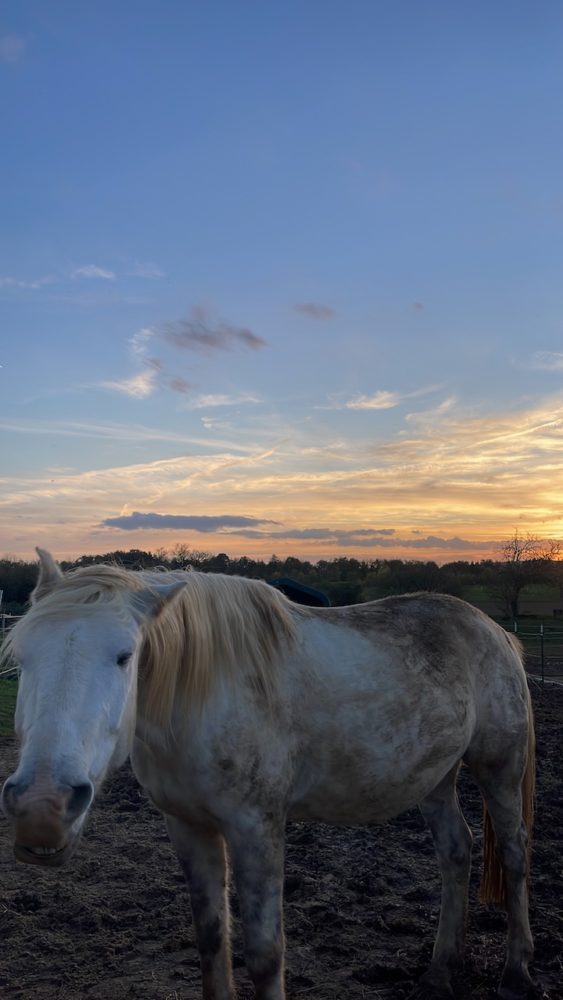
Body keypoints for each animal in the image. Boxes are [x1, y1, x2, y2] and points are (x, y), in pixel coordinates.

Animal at [1, 552, 536, 996]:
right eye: (21, 656)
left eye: (124, 656)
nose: (42, 809)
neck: (201, 698)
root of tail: (495, 631)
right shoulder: (187, 826)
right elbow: (211, 939)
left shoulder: (256, 828)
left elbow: (264, 953)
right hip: (434, 778)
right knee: (456, 851)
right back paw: (441, 972)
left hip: (500, 768)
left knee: (514, 855)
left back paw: (517, 974)